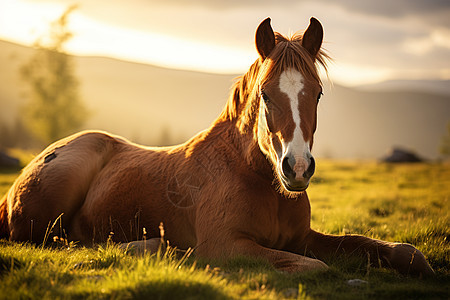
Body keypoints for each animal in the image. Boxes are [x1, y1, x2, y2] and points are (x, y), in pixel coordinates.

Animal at [0, 17, 436, 276]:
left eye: (318, 93)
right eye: (265, 94)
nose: (297, 168)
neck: (255, 178)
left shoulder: (303, 238)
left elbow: (394, 249)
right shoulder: (227, 245)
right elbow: (317, 268)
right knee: (53, 242)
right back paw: (154, 247)